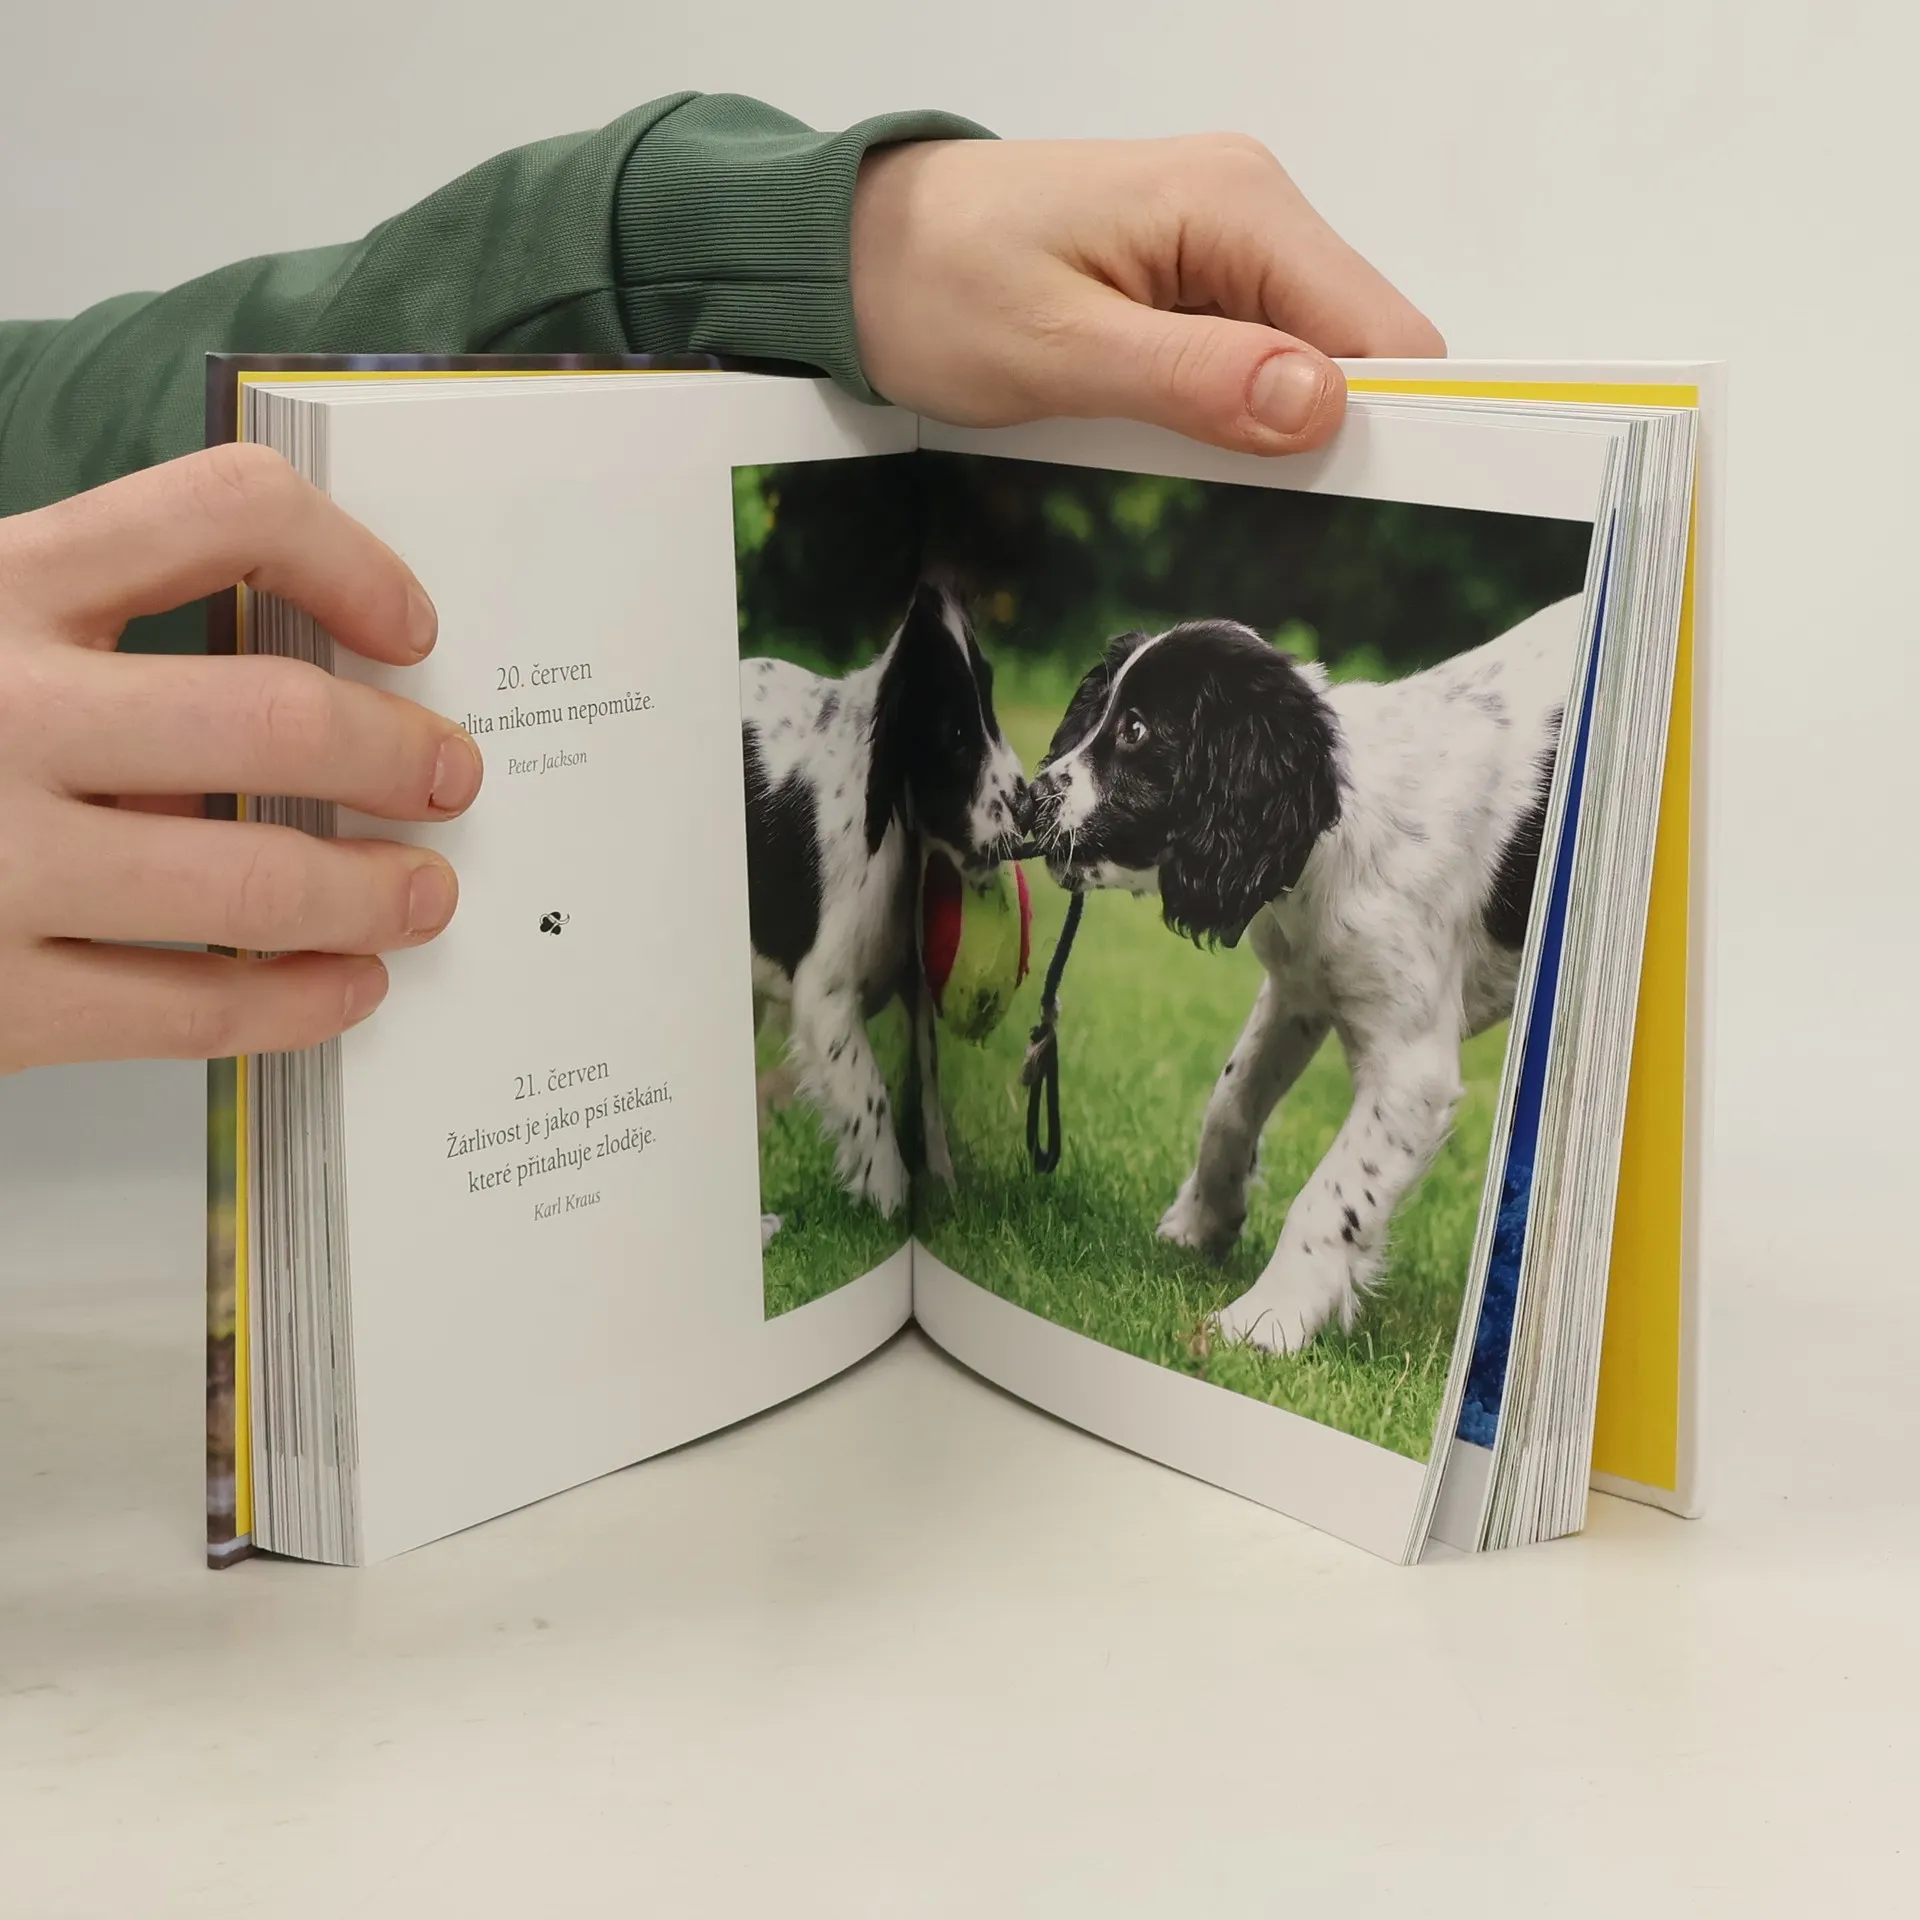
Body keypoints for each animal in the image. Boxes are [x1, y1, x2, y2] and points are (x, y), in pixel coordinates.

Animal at [743, 584, 1026, 1243]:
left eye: (989, 707)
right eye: (953, 733)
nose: (1032, 808)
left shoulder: (916, 980)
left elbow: (927, 1086)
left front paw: (943, 1194)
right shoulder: (825, 1000)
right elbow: (872, 1097)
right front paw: (894, 1207)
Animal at [1025, 595, 1580, 1352]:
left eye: (1137, 730)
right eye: (1096, 713)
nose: (1028, 798)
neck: (1334, 828)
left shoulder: (1409, 1068)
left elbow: (1333, 1195)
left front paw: (1266, 1318)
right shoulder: (1299, 989)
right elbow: (1230, 1101)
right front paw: (1204, 1221)